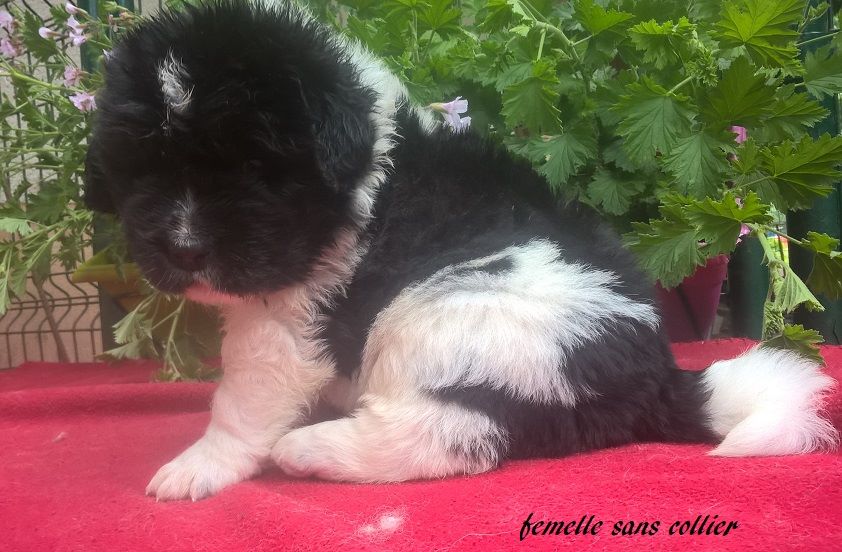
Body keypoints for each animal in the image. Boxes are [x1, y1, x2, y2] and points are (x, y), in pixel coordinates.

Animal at [83, 0, 838, 501]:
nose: (183, 248)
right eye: (142, 171)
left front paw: (200, 466)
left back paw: (311, 449)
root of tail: (661, 378)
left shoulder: (292, 318)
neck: (360, 161)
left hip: (451, 310)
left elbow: (242, 398)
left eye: (253, 170)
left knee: (447, 435)